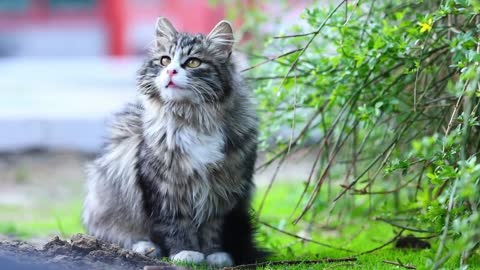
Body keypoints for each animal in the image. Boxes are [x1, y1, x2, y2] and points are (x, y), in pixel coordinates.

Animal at [81, 17, 264, 268]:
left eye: (193, 62)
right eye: (165, 60)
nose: (171, 71)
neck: (193, 120)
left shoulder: (222, 192)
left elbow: (213, 228)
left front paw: (214, 255)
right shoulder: (164, 188)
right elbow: (176, 224)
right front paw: (185, 253)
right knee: (115, 236)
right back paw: (146, 247)